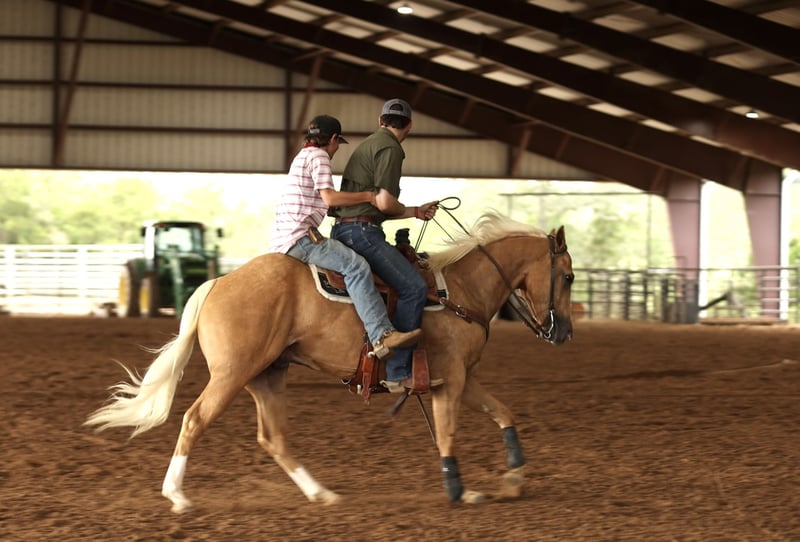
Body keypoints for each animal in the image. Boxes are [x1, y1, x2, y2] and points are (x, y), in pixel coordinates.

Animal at [85, 212, 574, 512]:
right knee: (194, 419)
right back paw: (178, 496)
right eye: (568, 276)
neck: (460, 291)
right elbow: (448, 431)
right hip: (232, 374)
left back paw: (321, 493)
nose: (564, 333)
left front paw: (512, 478)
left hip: (267, 376)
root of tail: (217, 283)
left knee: (274, 438)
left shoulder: (460, 379)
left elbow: (503, 413)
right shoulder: (449, 379)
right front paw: (459, 488)